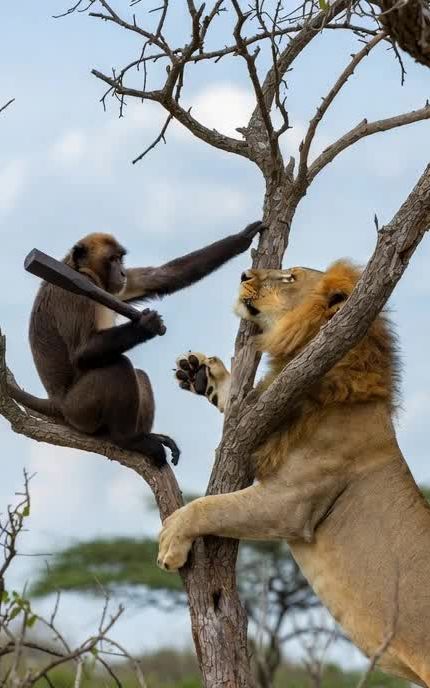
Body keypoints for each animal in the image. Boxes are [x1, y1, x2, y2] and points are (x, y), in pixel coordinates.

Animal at [8, 221, 263, 466]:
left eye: (120, 258)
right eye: (112, 259)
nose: (121, 272)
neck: (78, 271)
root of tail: (57, 403)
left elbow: (160, 278)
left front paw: (242, 238)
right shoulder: (78, 291)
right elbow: (81, 353)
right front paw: (147, 325)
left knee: (138, 374)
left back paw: (145, 436)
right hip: (80, 410)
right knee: (118, 366)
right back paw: (128, 440)